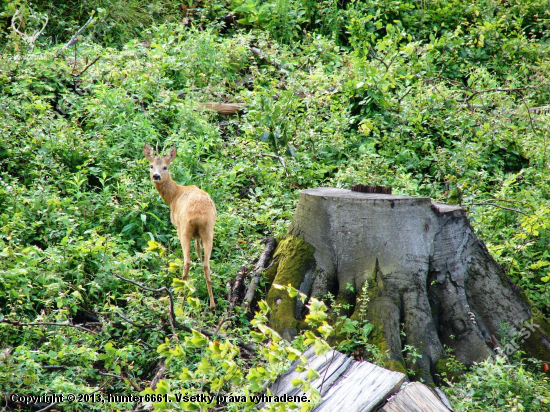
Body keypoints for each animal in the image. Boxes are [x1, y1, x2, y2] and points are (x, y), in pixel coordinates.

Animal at [144, 143, 218, 308]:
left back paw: (179, 296)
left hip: (184, 229)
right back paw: (212, 303)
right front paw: (199, 258)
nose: (156, 176)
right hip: (209, 229)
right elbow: (198, 247)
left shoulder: (177, 226)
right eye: (151, 166)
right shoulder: (198, 235)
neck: (174, 196)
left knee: (186, 261)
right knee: (206, 264)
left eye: (165, 167)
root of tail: (198, 215)